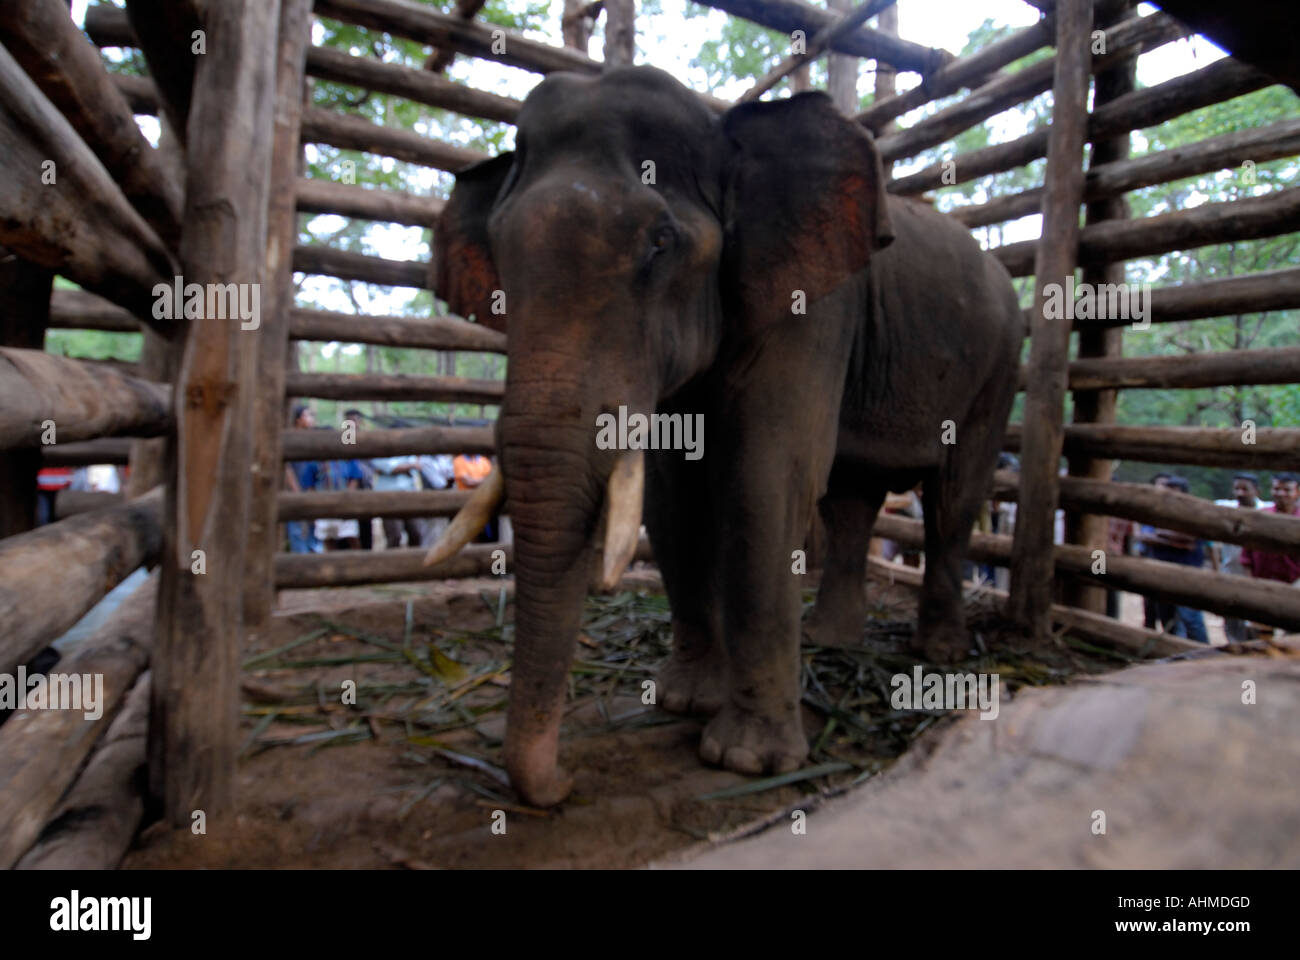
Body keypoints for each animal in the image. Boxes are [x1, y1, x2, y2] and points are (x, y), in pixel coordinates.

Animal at [427, 66, 1022, 807]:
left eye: (660, 243)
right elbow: (672, 497)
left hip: (999, 365)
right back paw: (831, 639)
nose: (563, 783)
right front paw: (684, 703)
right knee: (852, 500)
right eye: (501, 255)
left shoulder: (813, 306)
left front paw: (746, 760)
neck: (726, 136)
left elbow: (765, 476)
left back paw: (938, 654)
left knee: (952, 498)